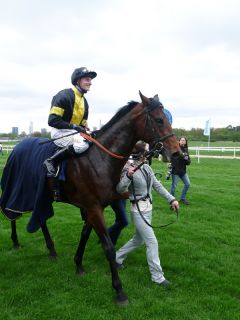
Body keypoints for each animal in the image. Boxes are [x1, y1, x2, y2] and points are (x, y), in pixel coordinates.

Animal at [0, 92, 180, 304]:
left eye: (167, 118)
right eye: (159, 120)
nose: (176, 152)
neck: (100, 159)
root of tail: (16, 147)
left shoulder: (92, 207)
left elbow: (85, 234)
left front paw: (78, 264)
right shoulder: (93, 207)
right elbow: (108, 247)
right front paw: (119, 291)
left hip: (41, 196)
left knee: (41, 218)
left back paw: (51, 250)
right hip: (19, 189)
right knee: (11, 211)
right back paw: (15, 241)